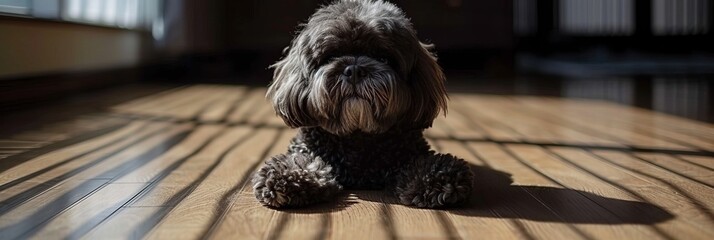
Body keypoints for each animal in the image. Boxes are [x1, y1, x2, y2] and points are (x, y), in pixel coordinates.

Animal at [252, 0, 472, 208]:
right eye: (332, 56)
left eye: (383, 57)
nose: (354, 70)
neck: (358, 136)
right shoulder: (306, 149)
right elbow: (301, 162)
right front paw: (287, 178)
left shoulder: (410, 150)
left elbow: (424, 165)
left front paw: (438, 180)